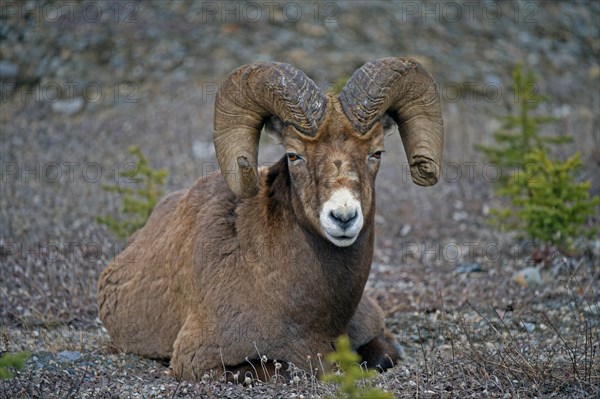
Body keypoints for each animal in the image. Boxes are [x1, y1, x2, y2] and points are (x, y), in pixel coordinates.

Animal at [98, 57, 442, 382]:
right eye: (294, 155)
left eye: (376, 153)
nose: (343, 217)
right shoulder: (200, 364)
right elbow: (284, 368)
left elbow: (383, 355)